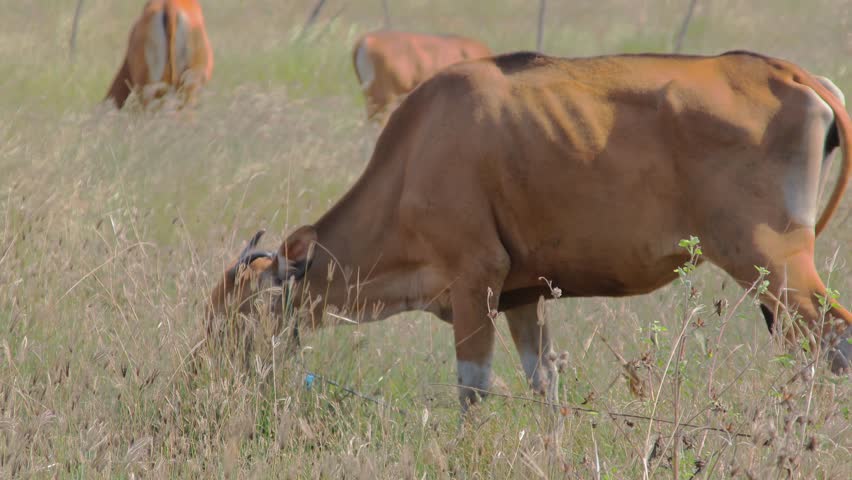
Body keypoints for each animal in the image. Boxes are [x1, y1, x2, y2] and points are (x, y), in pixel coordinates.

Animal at [207, 51, 852, 411]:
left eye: (246, 310)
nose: (209, 376)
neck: (415, 155)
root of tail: (786, 71)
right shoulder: (524, 298)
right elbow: (546, 382)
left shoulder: (476, 286)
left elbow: (473, 391)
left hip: (775, 267)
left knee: (836, 340)